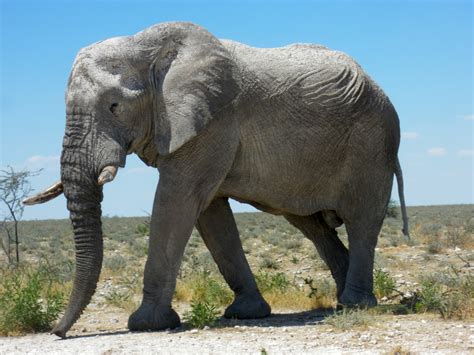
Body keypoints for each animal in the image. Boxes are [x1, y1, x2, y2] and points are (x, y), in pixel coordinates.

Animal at [24, 22, 410, 340]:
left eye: (114, 106)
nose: (57, 332)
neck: (148, 47)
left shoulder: (213, 122)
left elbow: (177, 201)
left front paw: (146, 324)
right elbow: (210, 213)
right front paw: (246, 314)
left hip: (372, 144)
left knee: (362, 221)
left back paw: (356, 305)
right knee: (313, 227)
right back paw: (342, 300)